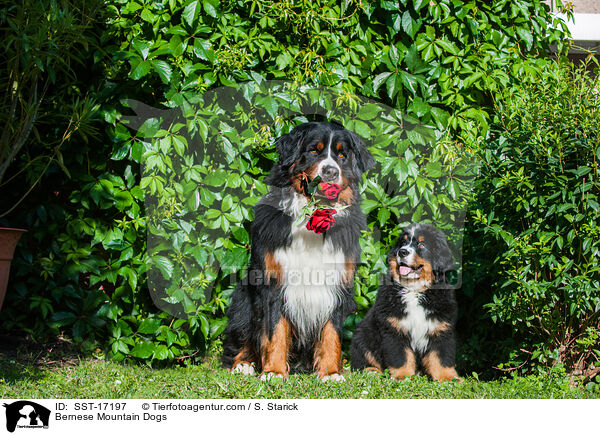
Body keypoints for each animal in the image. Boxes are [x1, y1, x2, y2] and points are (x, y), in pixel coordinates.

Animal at [223, 121, 376, 380]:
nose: (330, 172)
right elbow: (275, 331)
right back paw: (243, 364)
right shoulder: (272, 282)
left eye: (342, 155)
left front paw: (331, 372)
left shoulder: (337, 283)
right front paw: (273, 371)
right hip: (242, 299)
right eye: (314, 150)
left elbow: (332, 333)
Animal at [350, 225, 462, 382]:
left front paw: (447, 378)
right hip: (363, 335)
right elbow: (401, 356)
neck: (414, 290)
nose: (402, 252)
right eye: (403, 243)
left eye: (422, 244)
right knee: (363, 358)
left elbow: (441, 357)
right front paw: (402, 376)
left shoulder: (440, 328)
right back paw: (371, 371)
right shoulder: (394, 328)